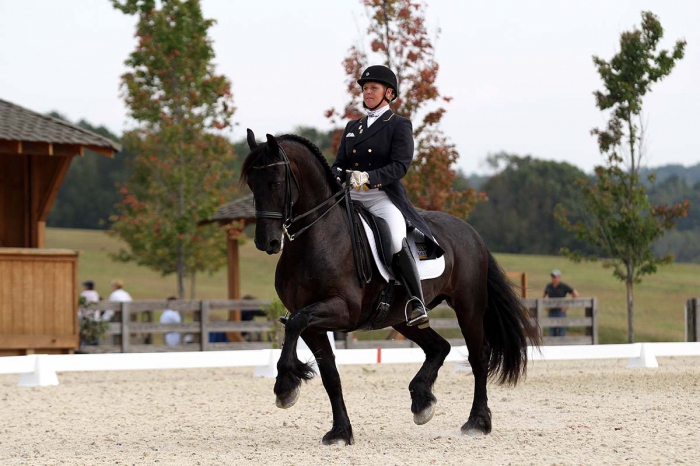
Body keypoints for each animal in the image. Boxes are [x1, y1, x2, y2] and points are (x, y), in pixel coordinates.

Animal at [240, 130, 539, 446]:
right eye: (252, 184)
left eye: (275, 182)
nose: (267, 242)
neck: (317, 238)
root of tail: (471, 232)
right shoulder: (313, 323)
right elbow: (328, 372)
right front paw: (340, 431)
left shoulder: (343, 309)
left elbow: (295, 325)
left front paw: (285, 386)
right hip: (402, 318)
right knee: (439, 347)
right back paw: (422, 402)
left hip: (468, 307)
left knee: (478, 356)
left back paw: (477, 422)